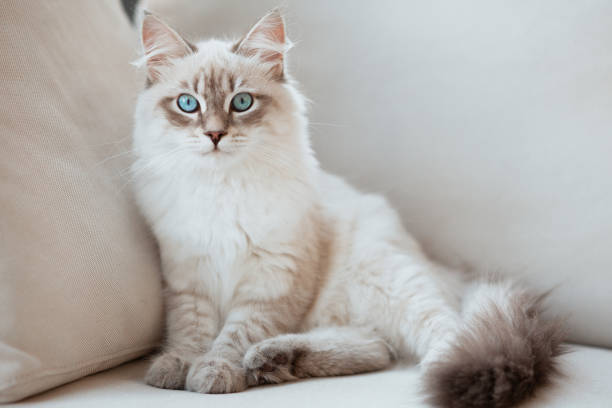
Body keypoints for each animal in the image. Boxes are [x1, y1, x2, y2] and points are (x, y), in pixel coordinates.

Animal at [131, 9, 568, 408]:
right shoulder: (188, 277)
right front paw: (176, 366)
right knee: (374, 348)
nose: (215, 135)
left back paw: (440, 373)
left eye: (241, 102)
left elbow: (234, 336)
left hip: (388, 280)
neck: (222, 188)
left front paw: (213, 372)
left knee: (445, 331)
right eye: (188, 104)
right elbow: (191, 331)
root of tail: (443, 270)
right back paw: (273, 360)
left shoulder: (271, 282)